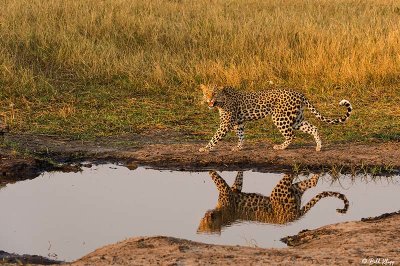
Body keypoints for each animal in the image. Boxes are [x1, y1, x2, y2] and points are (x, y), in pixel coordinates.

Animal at [197, 171, 346, 234]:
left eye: (203, 224)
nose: (197, 230)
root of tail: (295, 216)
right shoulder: (233, 189)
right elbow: (237, 178)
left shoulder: (226, 190)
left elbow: (216, 176)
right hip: (290, 190)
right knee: (312, 182)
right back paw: (315, 174)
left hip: (280, 190)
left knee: (294, 173)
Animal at [198, 84, 352, 151]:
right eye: (206, 93)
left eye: (214, 93)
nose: (209, 100)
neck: (221, 102)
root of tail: (300, 93)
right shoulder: (238, 122)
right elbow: (241, 135)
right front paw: (239, 147)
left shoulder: (226, 124)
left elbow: (215, 137)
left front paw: (205, 148)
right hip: (297, 119)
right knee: (313, 127)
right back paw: (319, 147)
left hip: (279, 117)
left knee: (291, 135)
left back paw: (280, 147)